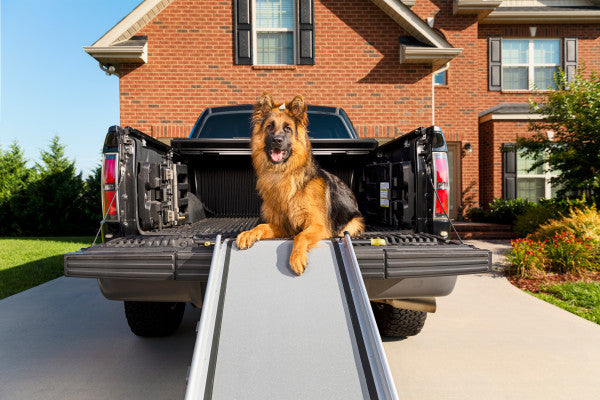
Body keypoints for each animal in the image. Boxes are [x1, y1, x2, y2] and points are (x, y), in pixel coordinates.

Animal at [237, 94, 364, 276]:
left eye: (288, 129)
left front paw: (296, 258)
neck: (283, 174)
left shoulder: (318, 226)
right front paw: (248, 233)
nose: (277, 140)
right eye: (269, 127)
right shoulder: (283, 226)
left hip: (352, 223)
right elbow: (261, 226)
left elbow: (300, 236)